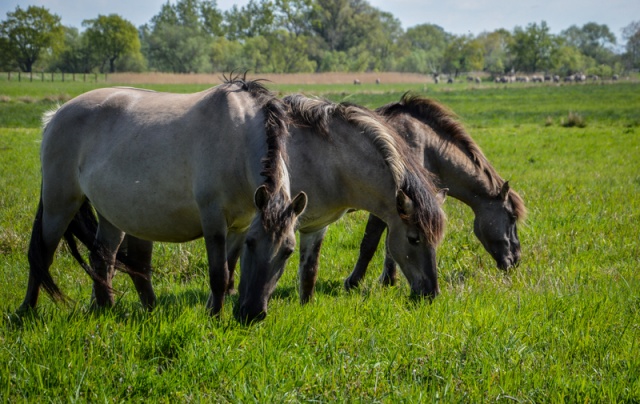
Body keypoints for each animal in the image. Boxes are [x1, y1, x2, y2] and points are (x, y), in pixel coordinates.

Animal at [19, 77, 308, 318]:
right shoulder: (214, 220)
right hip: (59, 205)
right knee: (42, 255)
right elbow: (218, 275)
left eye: (288, 251)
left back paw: (109, 308)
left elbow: (229, 273)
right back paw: (27, 310)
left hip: (112, 215)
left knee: (103, 259)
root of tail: (56, 115)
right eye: (252, 244)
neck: (238, 139)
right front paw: (214, 318)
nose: (253, 314)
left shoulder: (240, 226)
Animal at [342, 94, 528, 290]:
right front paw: (354, 282)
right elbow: (369, 243)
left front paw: (388, 280)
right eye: (512, 217)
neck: (426, 146)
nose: (515, 259)